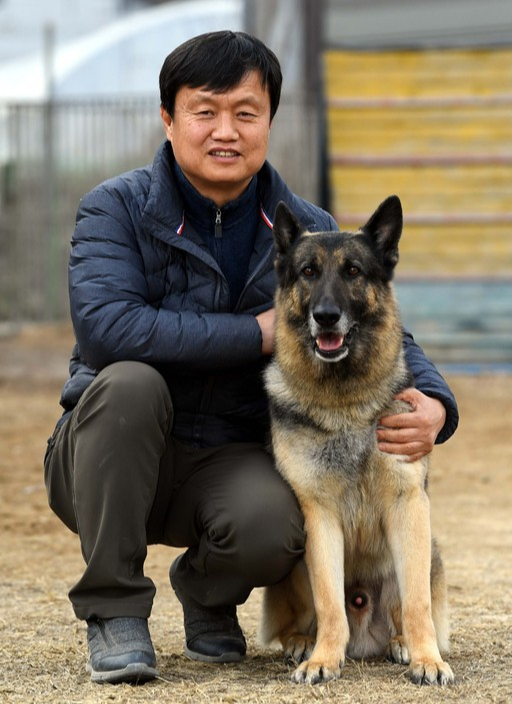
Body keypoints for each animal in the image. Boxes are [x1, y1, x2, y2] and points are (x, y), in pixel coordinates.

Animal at [262, 198, 454, 688]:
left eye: (353, 271)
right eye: (308, 271)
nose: (326, 316)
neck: (345, 402)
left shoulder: (408, 504)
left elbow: (418, 603)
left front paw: (428, 659)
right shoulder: (317, 515)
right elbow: (330, 603)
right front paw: (323, 659)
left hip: (428, 546)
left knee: (407, 605)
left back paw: (401, 643)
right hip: (295, 561)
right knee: (305, 616)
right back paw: (301, 642)